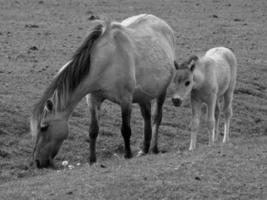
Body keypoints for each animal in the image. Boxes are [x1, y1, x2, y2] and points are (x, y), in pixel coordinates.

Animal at [30, 13, 177, 168]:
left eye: (44, 127)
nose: (37, 162)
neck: (106, 60)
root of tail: (163, 24)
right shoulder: (93, 99)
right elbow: (93, 130)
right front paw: (92, 159)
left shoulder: (125, 99)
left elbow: (126, 129)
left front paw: (128, 155)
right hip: (143, 95)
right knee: (146, 116)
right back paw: (144, 149)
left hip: (162, 91)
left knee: (156, 117)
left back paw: (154, 148)